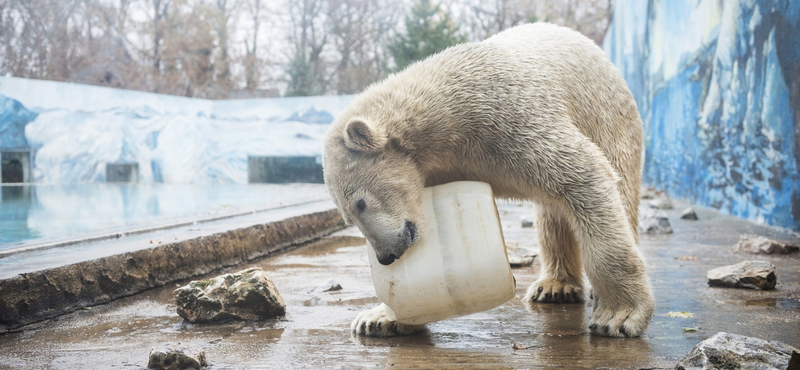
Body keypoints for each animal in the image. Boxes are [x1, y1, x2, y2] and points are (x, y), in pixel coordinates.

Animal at [322, 21, 652, 336]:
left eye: (361, 203)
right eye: (348, 218)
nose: (385, 256)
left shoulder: (511, 120)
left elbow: (583, 175)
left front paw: (619, 316)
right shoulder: (444, 166)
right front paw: (377, 319)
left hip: (609, 119)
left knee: (617, 191)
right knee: (552, 216)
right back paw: (554, 286)